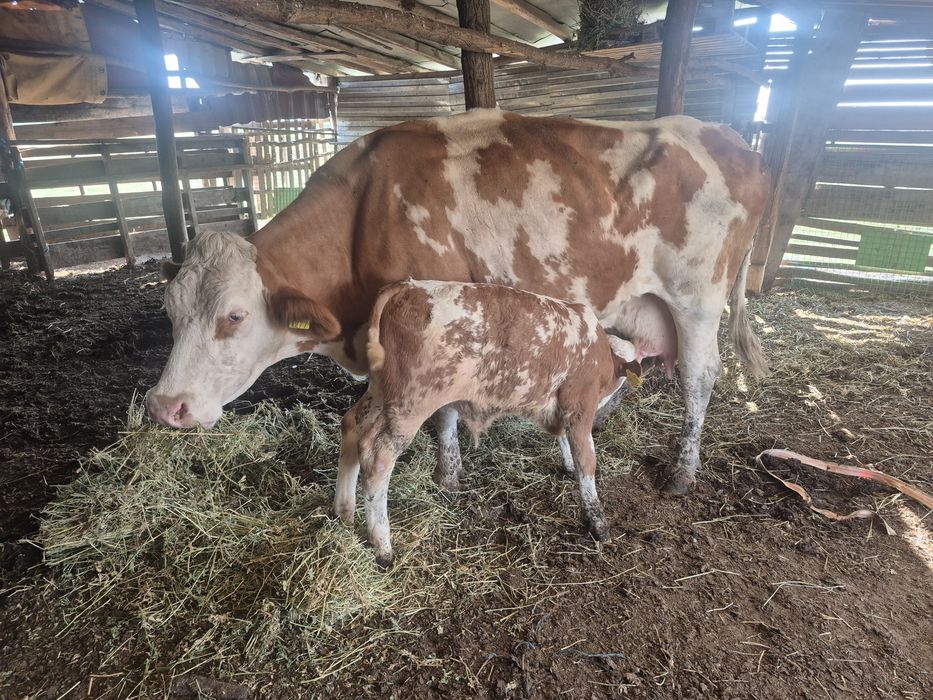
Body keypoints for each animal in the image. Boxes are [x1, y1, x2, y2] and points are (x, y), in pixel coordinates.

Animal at [146, 109, 768, 495]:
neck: (366, 209)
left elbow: (443, 410)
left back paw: (682, 474)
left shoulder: (438, 318)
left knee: (698, 378)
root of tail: (727, 136)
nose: (164, 407)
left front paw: (447, 476)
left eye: (234, 315)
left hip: (696, 299)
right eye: (170, 313)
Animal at [334, 279, 642, 567]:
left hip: (381, 392)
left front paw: (567, 465)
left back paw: (343, 513)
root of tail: (408, 288)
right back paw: (382, 546)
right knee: (379, 458)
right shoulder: (580, 404)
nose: (603, 420)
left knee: (352, 427)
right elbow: (586, 460)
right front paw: (598, 522)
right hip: (410, 404)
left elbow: (564, 440)